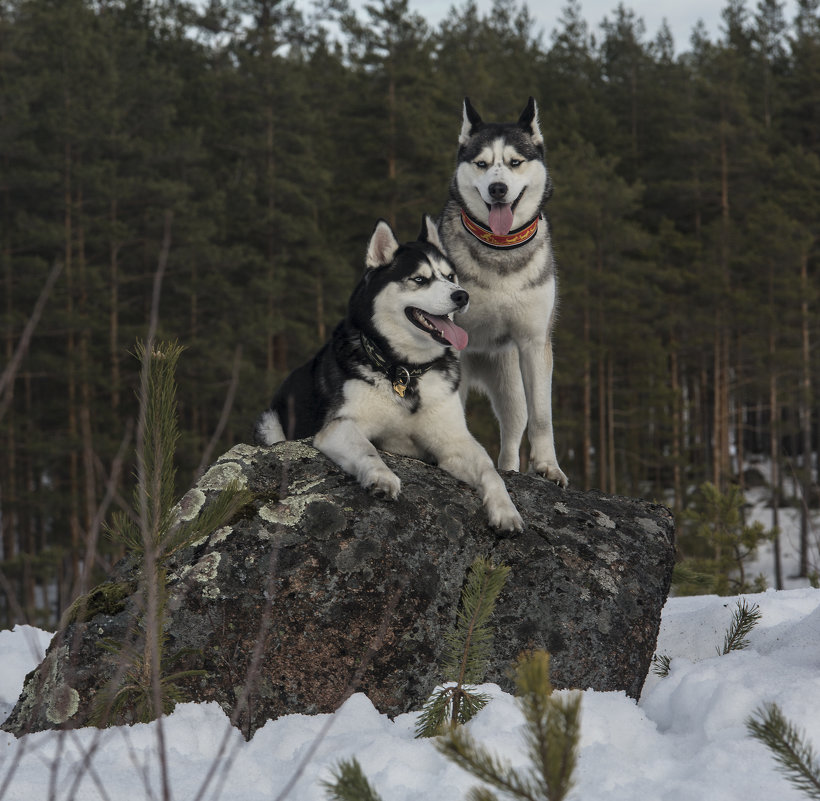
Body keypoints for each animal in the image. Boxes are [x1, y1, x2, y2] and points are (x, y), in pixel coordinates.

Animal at [256, 216, 524, 536]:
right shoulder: (338, 426)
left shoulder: (453, 442)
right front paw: (381, 477)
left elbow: (490, 470)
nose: (462, 295)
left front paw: (506, 510)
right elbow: (369, 449)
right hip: (270, 424)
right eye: (419, 279)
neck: (404, 370)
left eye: (450, 276)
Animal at [438, 100, 568, 488]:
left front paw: (548, 467)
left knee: (514, 425)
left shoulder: (534, 342)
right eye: (482, 163)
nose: (497, 188)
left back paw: (509, 468)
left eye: (514, 162)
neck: (500, 251)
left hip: (510, 382)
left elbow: (541, 417)